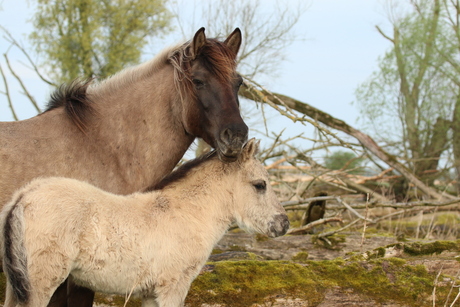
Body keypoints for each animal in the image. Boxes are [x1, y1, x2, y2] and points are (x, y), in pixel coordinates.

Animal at [0, 140, 288, 307]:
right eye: (260, 185)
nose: (283, 224)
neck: (186, 213)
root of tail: (25, 195)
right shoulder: (173, 287)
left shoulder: (151, 293)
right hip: (40, 282)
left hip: (18, 285)